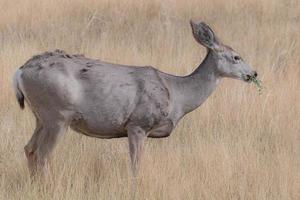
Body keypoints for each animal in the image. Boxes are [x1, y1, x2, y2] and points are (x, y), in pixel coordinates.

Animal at [12, 19, 258, 177]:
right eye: (236, 56)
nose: (254, 74)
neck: (177, 94)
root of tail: (21, 71)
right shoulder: (138, 123)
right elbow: (136, 166)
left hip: (41, 117)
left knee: (29, 149)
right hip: (57, 115)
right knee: (43, 154)